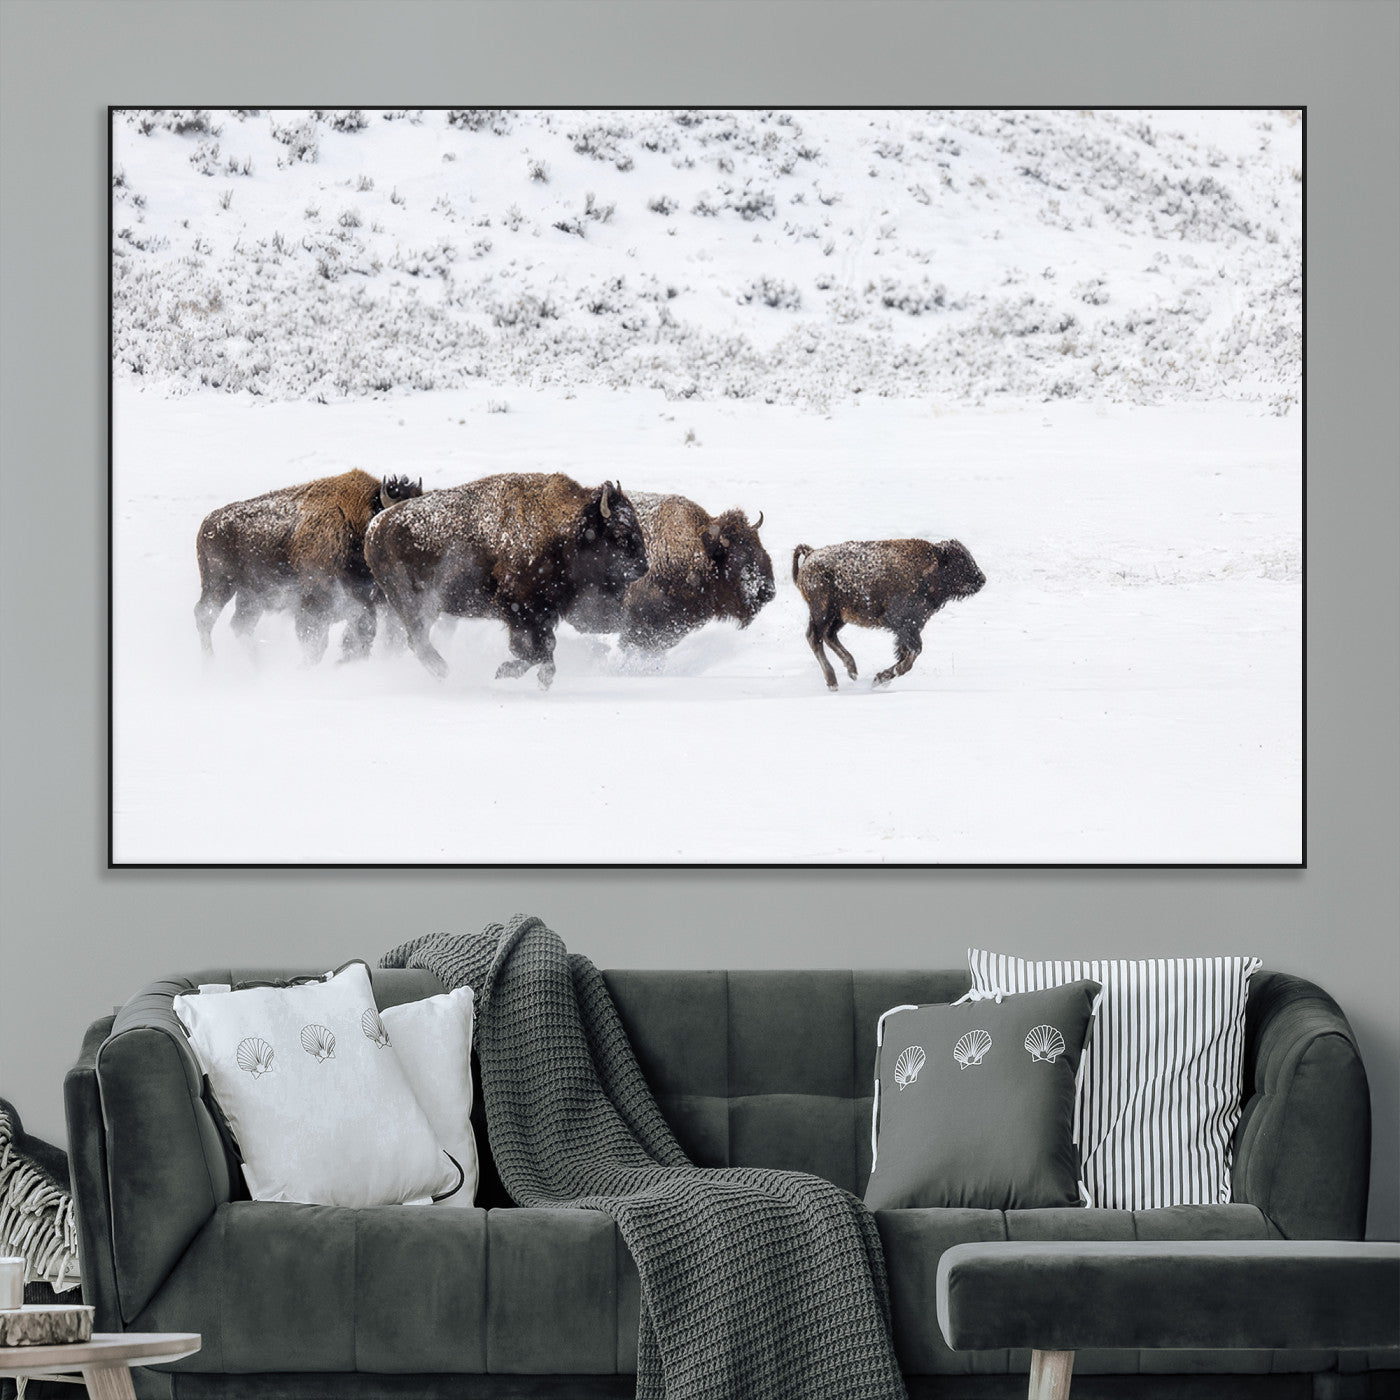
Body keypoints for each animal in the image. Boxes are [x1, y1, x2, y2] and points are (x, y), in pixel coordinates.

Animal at [194, 469, 423, 661]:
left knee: (240, 626)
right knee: (205, 616)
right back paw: (210, 662)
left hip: (251, 596)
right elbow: (315, 640)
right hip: (219, 583)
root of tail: (207, 522)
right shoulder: (316, 600)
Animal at [365, 472, 647, 689]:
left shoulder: (543, 612)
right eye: (619, 532)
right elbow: (534, 650)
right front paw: (506, 672)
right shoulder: (522, 609)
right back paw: (445, 672)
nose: (643, 567)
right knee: (417, 640)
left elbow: (545, 648)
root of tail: (375, 527)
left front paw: (541, 679)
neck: (565, 530)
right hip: (413, 603)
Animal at [792, 538, 986, 689]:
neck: (931, 566)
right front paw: (882, 678)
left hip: (838, 616)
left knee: (828, 636)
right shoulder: (907, 626)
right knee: (815, 638)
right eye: (959, 561)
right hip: (823, 613)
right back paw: (833, 682)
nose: (981, 579)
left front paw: (880, 679)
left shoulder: (909, 629)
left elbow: (906, 653)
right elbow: (913, 654)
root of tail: (811, 554)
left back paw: (852, 671)